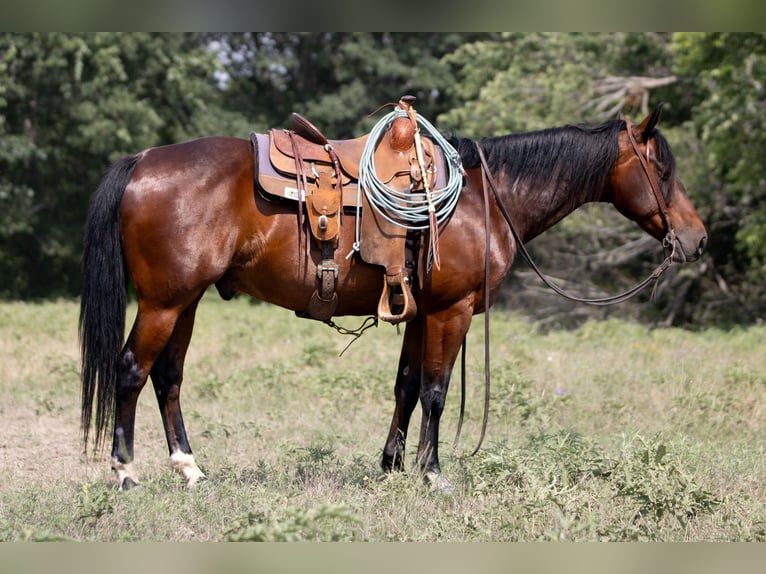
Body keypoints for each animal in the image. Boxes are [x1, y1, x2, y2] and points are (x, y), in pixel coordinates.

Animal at [78, 106, 708, 492]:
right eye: (663, 169)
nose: (697, 239)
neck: (484, 198)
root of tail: (144, 161)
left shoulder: (420, 311)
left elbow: (405, 386)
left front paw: (391, 466)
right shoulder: (452, 310)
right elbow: (434, 392)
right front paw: (432, 474)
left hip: (186, 301)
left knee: (168, 378)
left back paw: (190, 469)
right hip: (164, 302)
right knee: (131, 370)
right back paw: (125, 472)